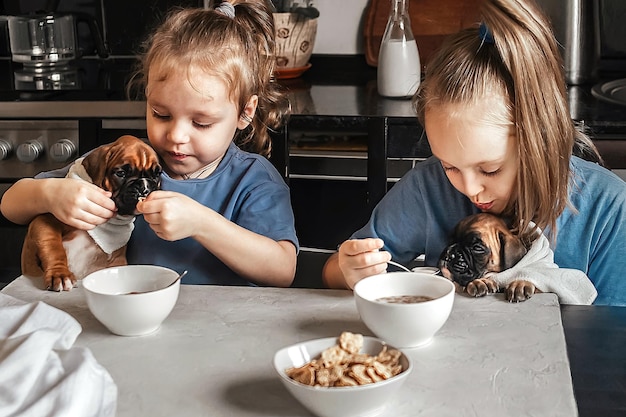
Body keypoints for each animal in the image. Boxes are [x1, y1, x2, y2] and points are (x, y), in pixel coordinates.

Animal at [22, 135, 161, 290]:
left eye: (157, 174)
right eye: (121, 173)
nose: (144, 186)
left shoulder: (117, 261)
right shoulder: (45, 220)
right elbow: (53, 248)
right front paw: (60, 274)